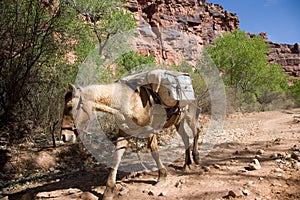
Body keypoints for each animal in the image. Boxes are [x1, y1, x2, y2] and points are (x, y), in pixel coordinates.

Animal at [61, 69, 200, 199]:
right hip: (178, 122)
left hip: (190, 117)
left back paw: (196, 157)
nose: (64, 136)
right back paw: (187, 164)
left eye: (69, 107)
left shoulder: (150, 130)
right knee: (186, 138)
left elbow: (154, 151)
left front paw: (162, 177)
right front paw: (108, 191)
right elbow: (116, 158)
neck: (126, 102)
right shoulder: (123, 134)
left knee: (196, 132)